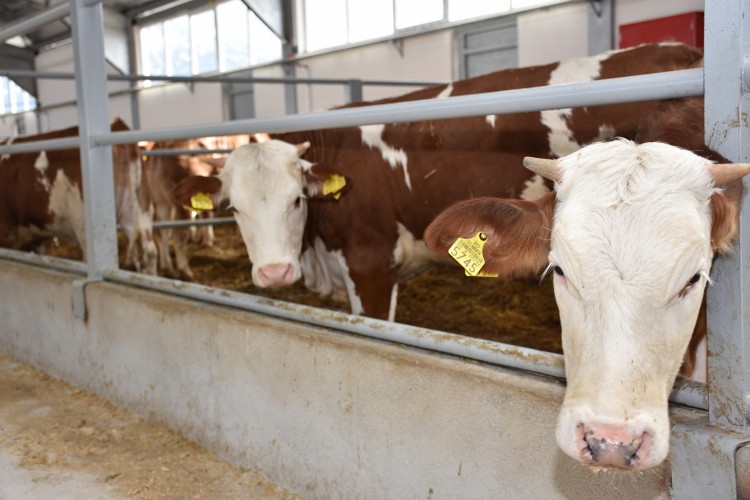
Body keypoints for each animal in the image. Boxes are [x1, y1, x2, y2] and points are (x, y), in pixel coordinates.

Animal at [0, 117, 157, 274]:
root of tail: (117, 125)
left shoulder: (6, 232)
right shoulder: (41, 237)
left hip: (83, 224)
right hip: (141, 209)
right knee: (148, 252)